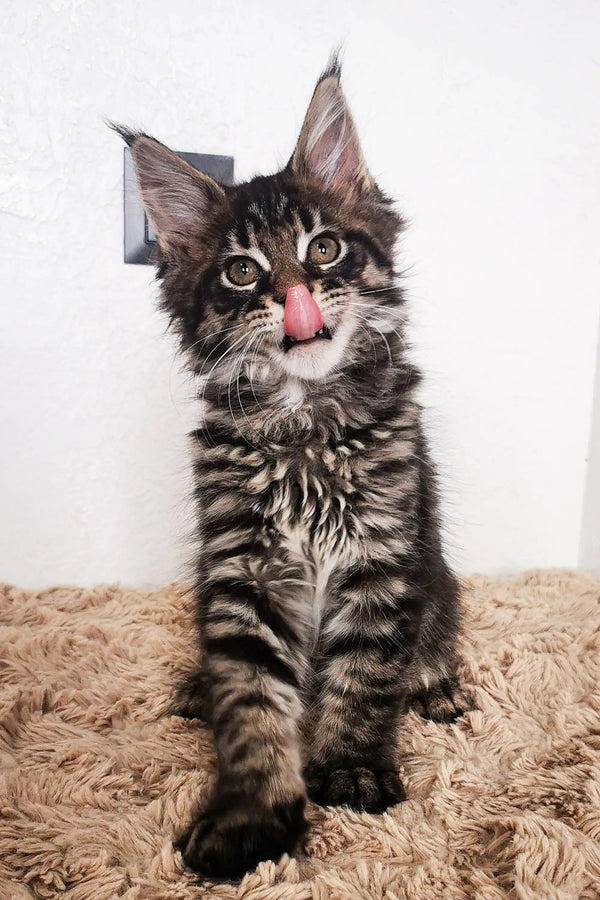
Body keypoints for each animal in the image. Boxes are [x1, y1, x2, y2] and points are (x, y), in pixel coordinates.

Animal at [115, 54, 466, 880]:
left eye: (325, 250)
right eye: (242, 271)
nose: (295, 296)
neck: (305, 422)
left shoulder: (383, 553)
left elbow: (366, 676)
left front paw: (352, 770)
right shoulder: (242, 568)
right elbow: (249, 700)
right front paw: (251, 817)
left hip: (438, 574)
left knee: (435, 633)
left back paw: (434, 684)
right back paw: (197, 684)